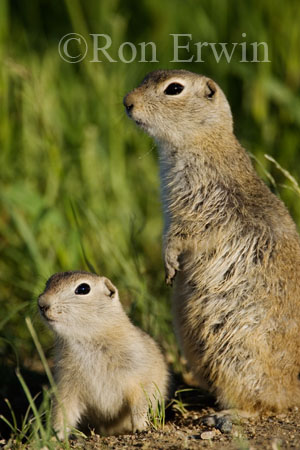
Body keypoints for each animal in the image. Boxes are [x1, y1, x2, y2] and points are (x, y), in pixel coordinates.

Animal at [37, 270, 169, 436]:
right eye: (48, 282)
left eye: (83, 289)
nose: (41, 303)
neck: (87, 341)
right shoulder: (66, 383)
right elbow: (63, 410)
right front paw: (54, 436)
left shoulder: (139, 373)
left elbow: (141, 400)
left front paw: (140, 427)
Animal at [123, 68, 300, 414]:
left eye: (173, 89)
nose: (127, 102)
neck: (205, 140)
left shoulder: (200, 204)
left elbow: (183, 235)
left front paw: (168, 264)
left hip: (236, 354)